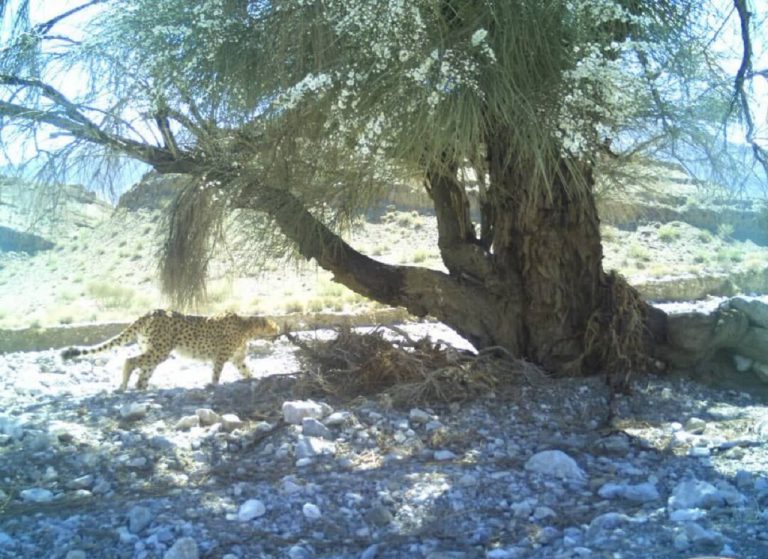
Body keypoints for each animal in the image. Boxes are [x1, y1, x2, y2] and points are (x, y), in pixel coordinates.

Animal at [60, 310, 280, 390]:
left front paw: (253, 379)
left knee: (143, 374)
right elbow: (216, 373)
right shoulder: (221, 357)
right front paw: (214, 385)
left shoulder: (237, 359)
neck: (247, 327)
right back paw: (123, 386)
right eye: (274, 326)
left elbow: (246, 371)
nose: (279, 331)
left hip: (155, 351)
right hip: (160, 350)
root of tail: (150, 312)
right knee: (130, 361)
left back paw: (143, 389)